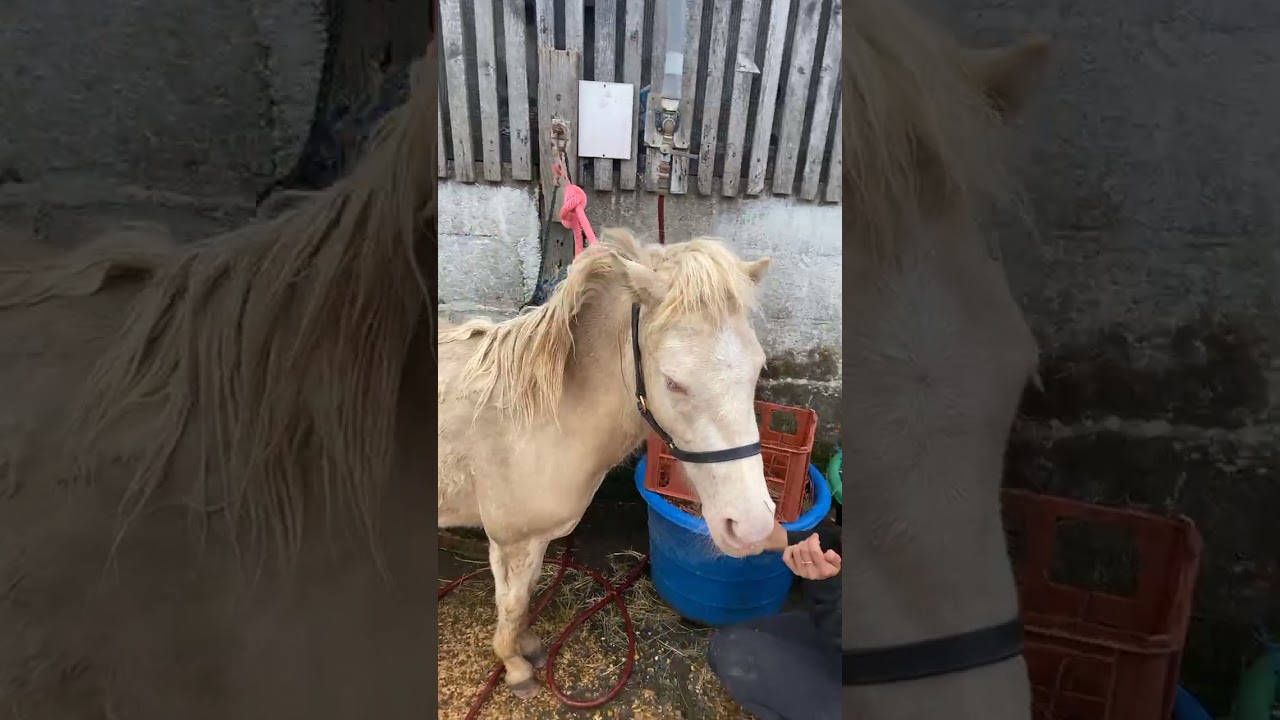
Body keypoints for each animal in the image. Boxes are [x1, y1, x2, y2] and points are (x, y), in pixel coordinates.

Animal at [438, 229, 776, 698]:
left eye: (757, 367)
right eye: (673, 382)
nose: (752, 528)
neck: (541, 415)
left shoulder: (535, 540)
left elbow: (526, 594)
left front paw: (526, 645)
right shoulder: (510, 540)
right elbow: (512, 601)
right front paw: (515, 667)